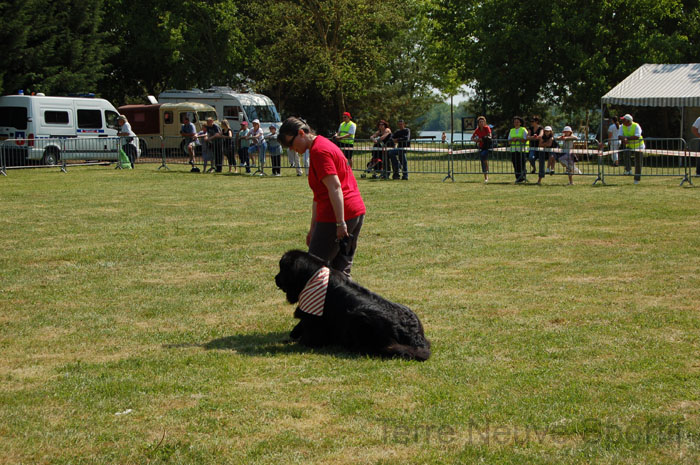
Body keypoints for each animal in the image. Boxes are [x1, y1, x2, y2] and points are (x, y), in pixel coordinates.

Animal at [274, 248, 430, 360]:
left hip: (359, 316)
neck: (311, 277)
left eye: (282, 270)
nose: (275, 278)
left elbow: (308, 337)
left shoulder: (315, 322)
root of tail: (415, 338)